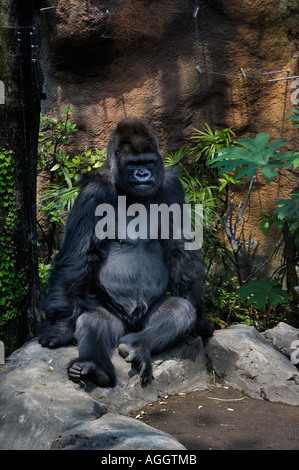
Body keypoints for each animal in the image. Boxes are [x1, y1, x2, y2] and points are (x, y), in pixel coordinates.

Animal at [38, 117, 213, 386]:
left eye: (148, 162)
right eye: (133, 164)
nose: (143, 174)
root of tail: (132, 326)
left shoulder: (173, 188)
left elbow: (181, 255)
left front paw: (200, 321)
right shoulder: (93, 193)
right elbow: (77, 256)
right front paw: (58, 327)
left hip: (142, 323)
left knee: (178, 311)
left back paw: (135, 346)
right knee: (95, 318)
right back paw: (93, 366)